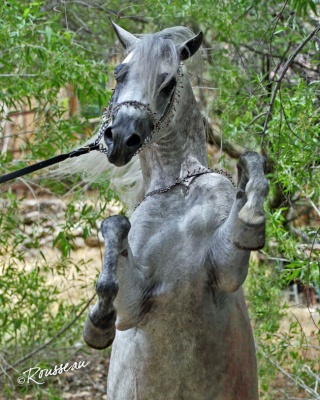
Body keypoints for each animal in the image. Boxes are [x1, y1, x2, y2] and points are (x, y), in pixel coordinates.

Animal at [82, 21, 268, 400]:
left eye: (167, 84)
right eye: (119, 73)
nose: (120, 139)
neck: (179, 188)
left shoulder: (225, 271)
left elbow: (249, 163)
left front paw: (251, 219)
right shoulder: (133, 306)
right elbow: (115, 228)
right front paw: (99, 323)